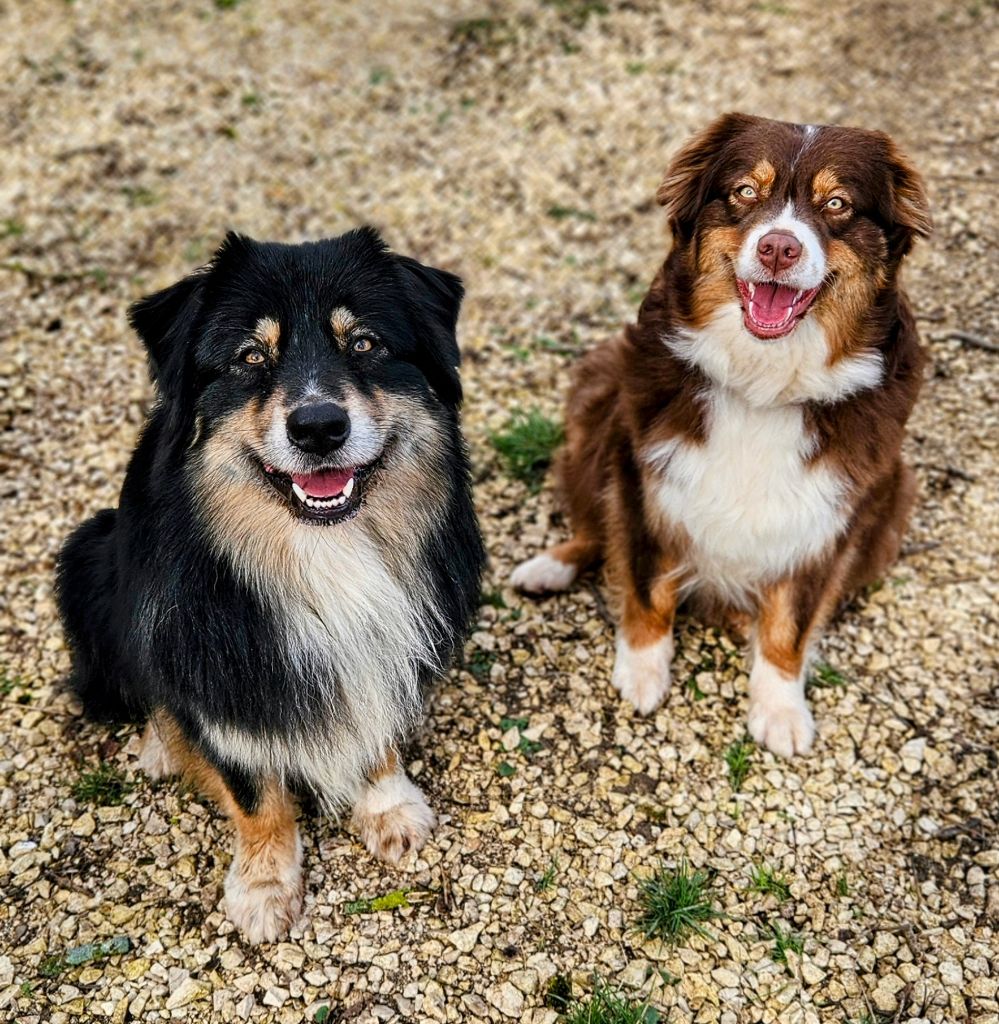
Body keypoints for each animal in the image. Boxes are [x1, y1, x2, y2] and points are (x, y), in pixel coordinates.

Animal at [56, 230, 485, 942]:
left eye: (364, 344)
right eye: (251, 357)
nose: (318, 428)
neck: (321, 548)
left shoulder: (385, 644)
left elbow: (377, 726)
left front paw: (388, 806)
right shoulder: (219, 673)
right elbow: (253, 791)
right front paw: (263, 884)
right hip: (86, 557)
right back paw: (161, 745)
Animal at [515, 116, 929, 757]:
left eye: (837, 204)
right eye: (744, 193)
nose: (778, 247)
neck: (764, 385)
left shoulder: (834, 512)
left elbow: (792, 619)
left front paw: (780, 705)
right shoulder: (641, 467)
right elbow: (645, 579)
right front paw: (642, 670)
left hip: (896, 498)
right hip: (596, 395)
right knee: (591, 527)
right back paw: (548, 568)